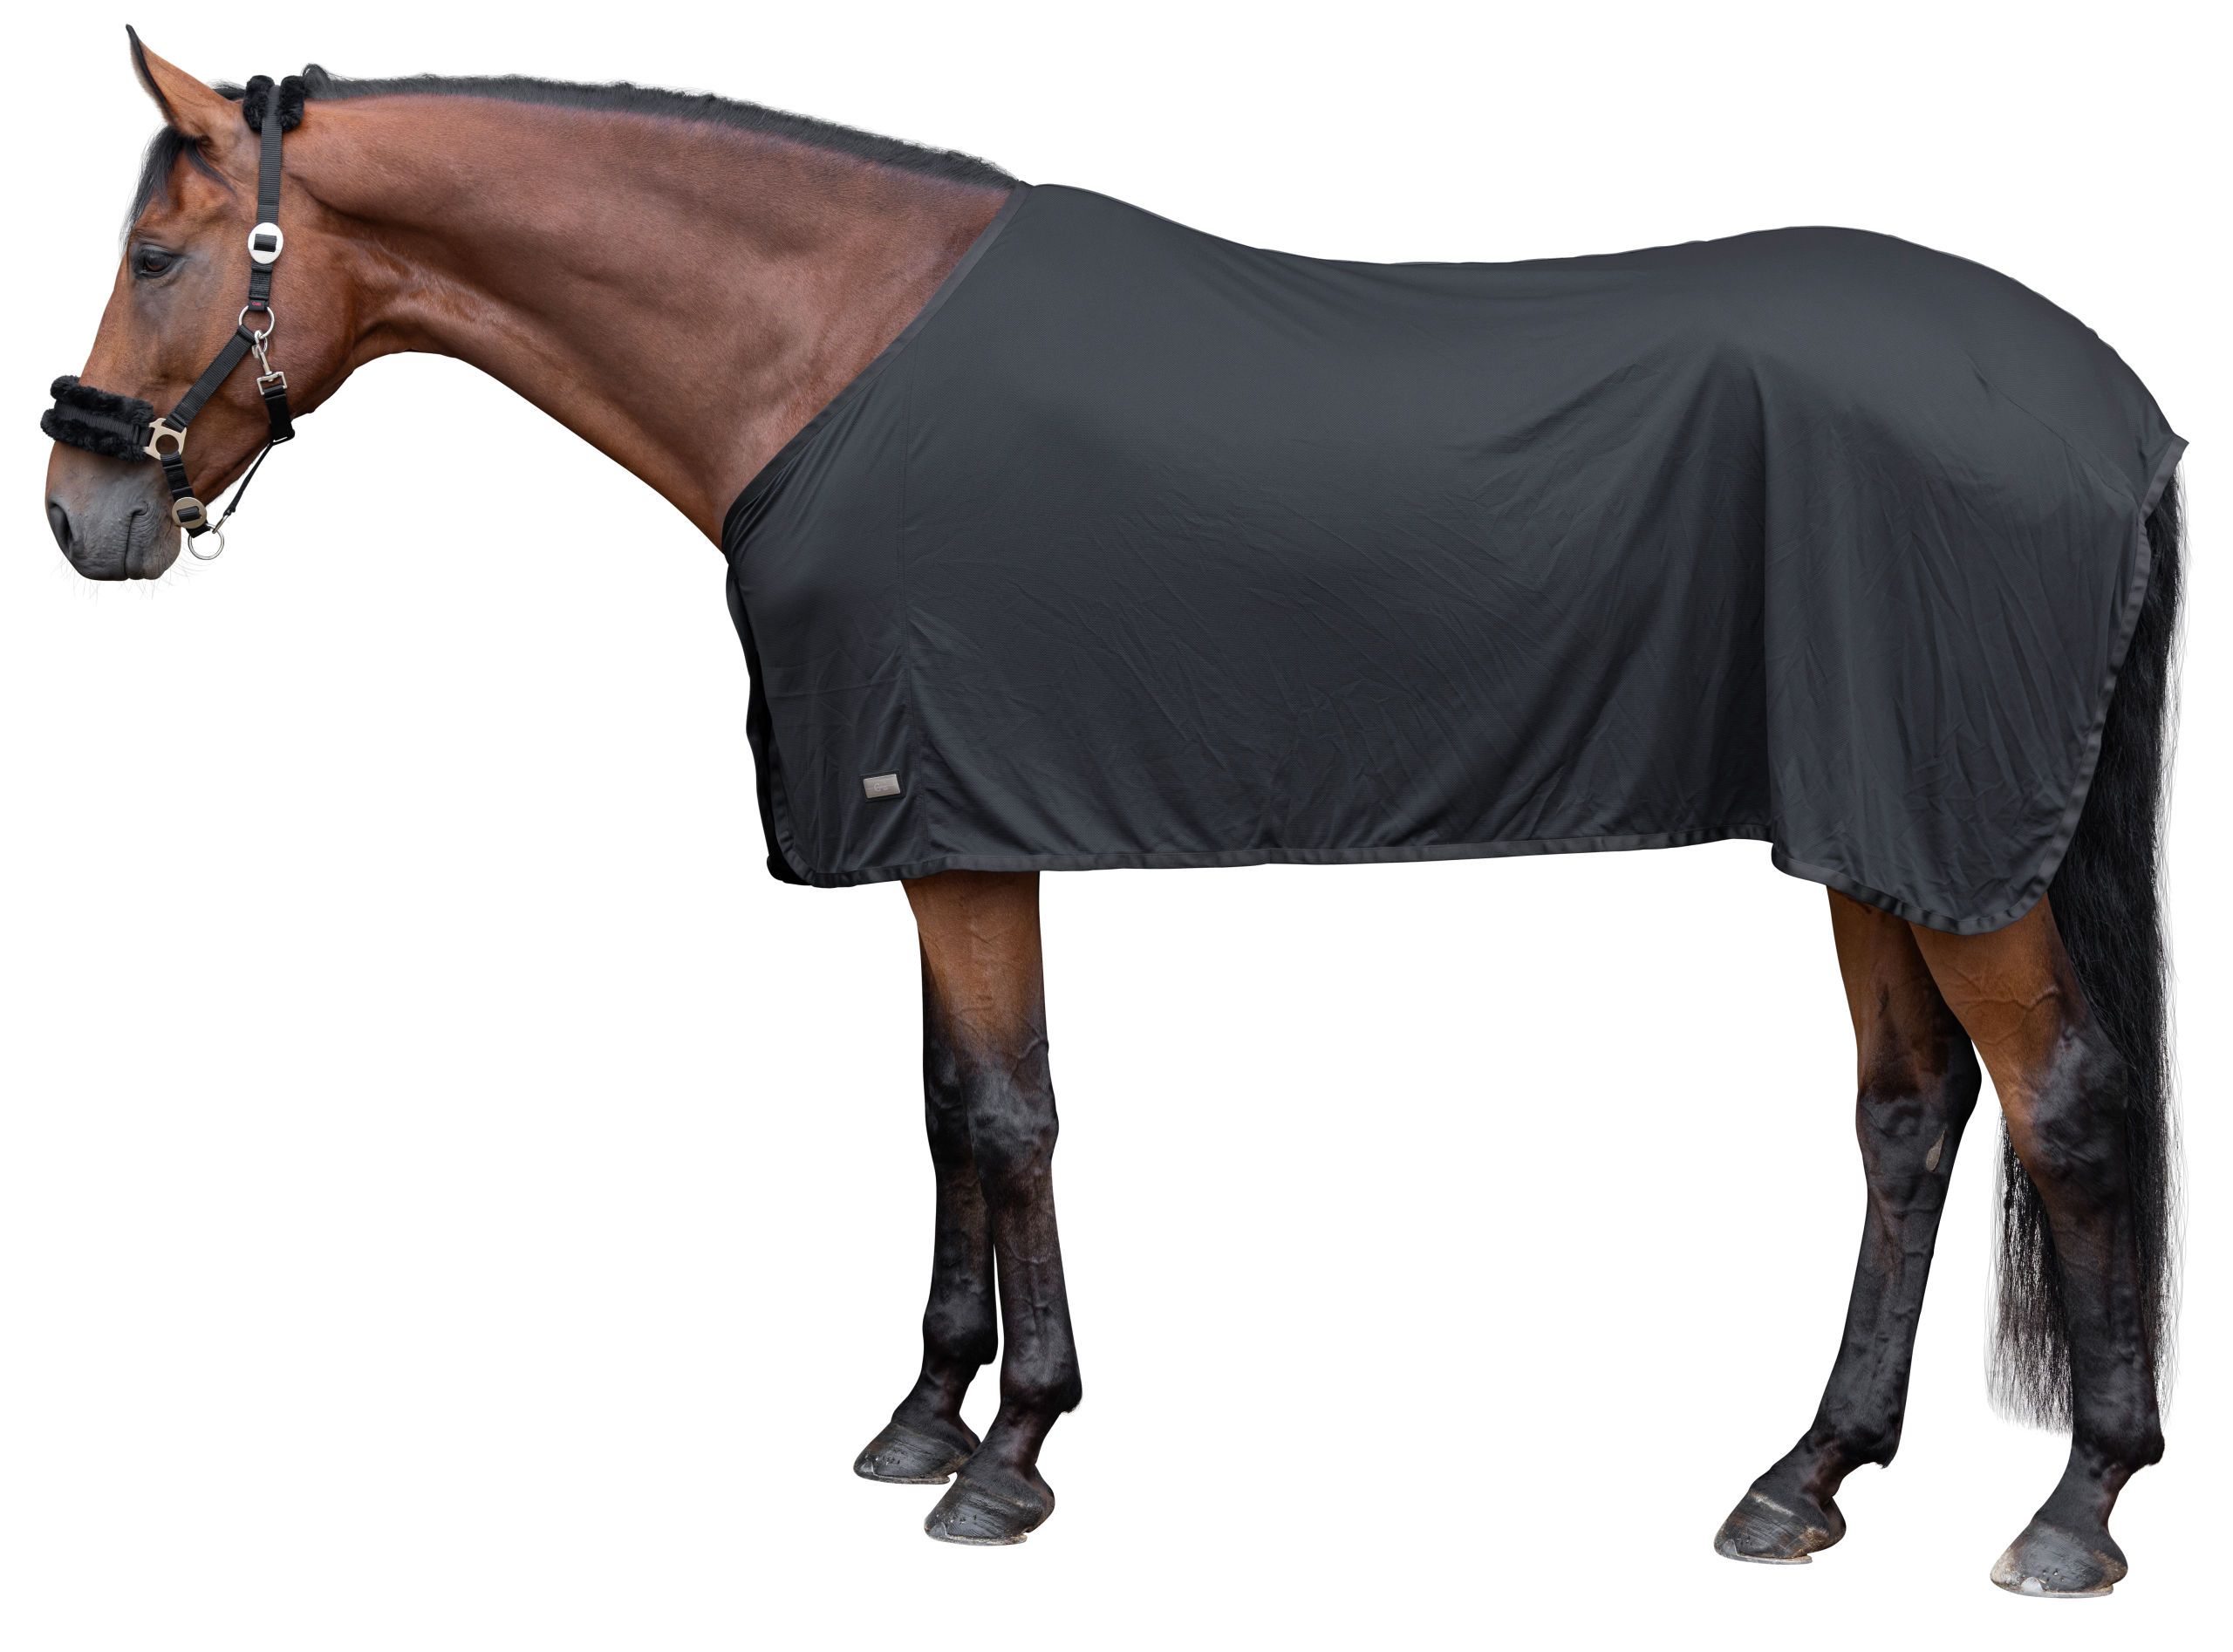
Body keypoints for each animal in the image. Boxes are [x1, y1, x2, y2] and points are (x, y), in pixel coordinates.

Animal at [41, 35, 2183, 1593]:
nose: (86, 511)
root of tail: (2116, 409)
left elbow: (1008, 1112)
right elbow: (942, 1112)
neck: (826, 351)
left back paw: (2075, 1506)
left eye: (157, 258)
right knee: (1909, 1118)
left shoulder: (958, 813)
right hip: (1870, 832)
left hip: (1950, 840)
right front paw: (924, 1409)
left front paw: (1009, 1458)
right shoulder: (934, 827)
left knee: (2068, 1104)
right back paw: (1804, 1473)